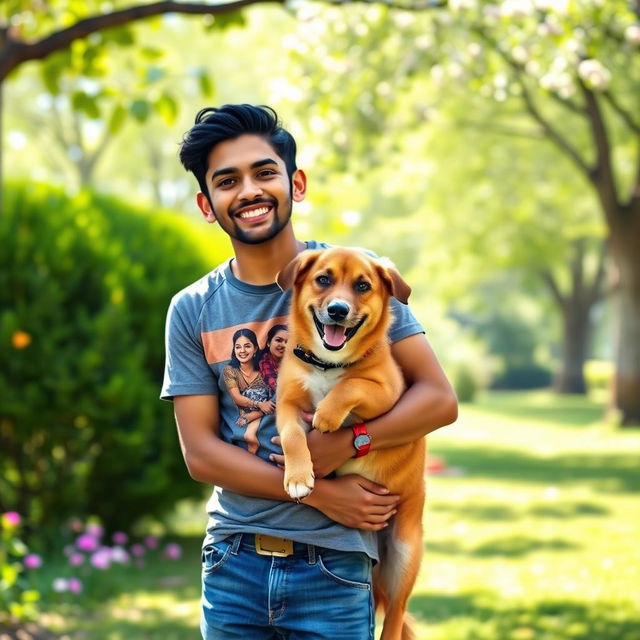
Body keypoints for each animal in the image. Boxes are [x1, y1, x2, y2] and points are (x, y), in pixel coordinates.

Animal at [276, 246, 424, 640]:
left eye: (362, 286)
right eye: (323, 279)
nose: (338, 310)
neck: (328, 365)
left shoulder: (388, 393)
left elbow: (352, 385)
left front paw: (328, 415)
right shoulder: (287, 405)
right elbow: (293, 437)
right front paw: (298, 477)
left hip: (404, 556)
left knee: (395, 617)